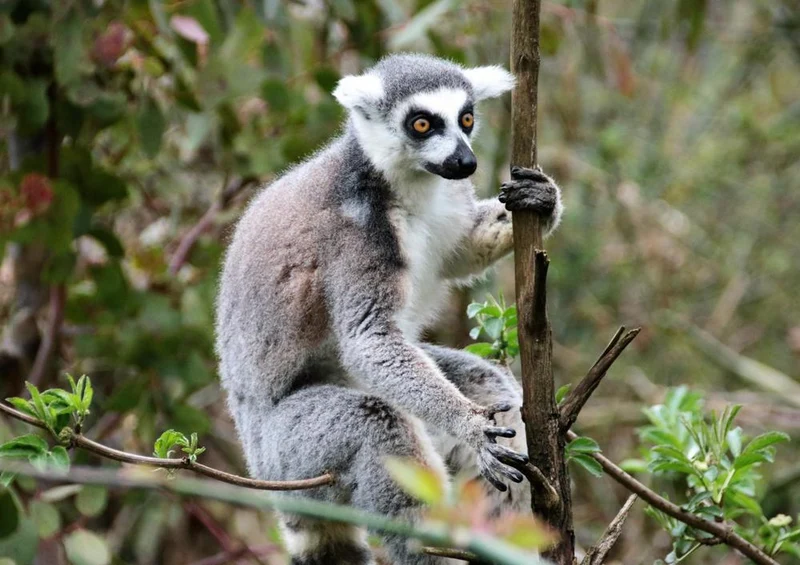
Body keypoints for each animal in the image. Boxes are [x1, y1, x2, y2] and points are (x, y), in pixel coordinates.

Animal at [215, 53, 562, 565]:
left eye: (466, 119)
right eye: (421, 123)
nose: (465, 161)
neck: (407, 184)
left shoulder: (447, 205)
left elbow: (461, 251)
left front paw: (543, 198)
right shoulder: (356, 233)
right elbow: (370, 339)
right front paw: (469, 426)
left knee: (490, 386)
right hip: (290, 453)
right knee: (376, 425)